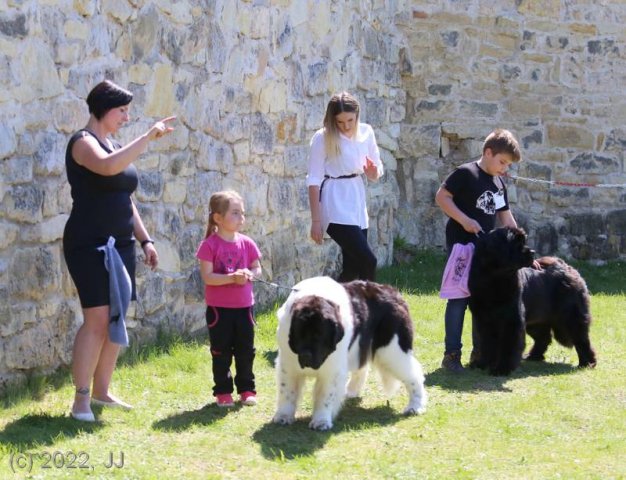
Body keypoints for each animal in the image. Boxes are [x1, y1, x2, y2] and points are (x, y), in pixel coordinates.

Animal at [270, 278, 426, 432]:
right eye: (299, 334)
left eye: (319, 336)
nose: (306, 355)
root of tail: (393, 292)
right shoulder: (288, 364)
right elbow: (287, 392)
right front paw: (283, 416)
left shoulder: (331, 369)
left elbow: (325, 395)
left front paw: (321, 421)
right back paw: (351, 391)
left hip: (391, 351)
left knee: (414, 375)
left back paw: (415, 406)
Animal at [468, 227, 596, 376]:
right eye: (516, 244)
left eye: (523, 241)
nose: (532, 251)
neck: (495, 278)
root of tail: (567, 267)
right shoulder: (484, 320)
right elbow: (486, 343)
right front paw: (483, 364)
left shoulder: (512, 320)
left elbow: (508, 345)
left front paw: (502, 369)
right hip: (536, 320)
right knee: (544, 338)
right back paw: (533, 356)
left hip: (570, 317)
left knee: (581, 339)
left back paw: (587, 363)